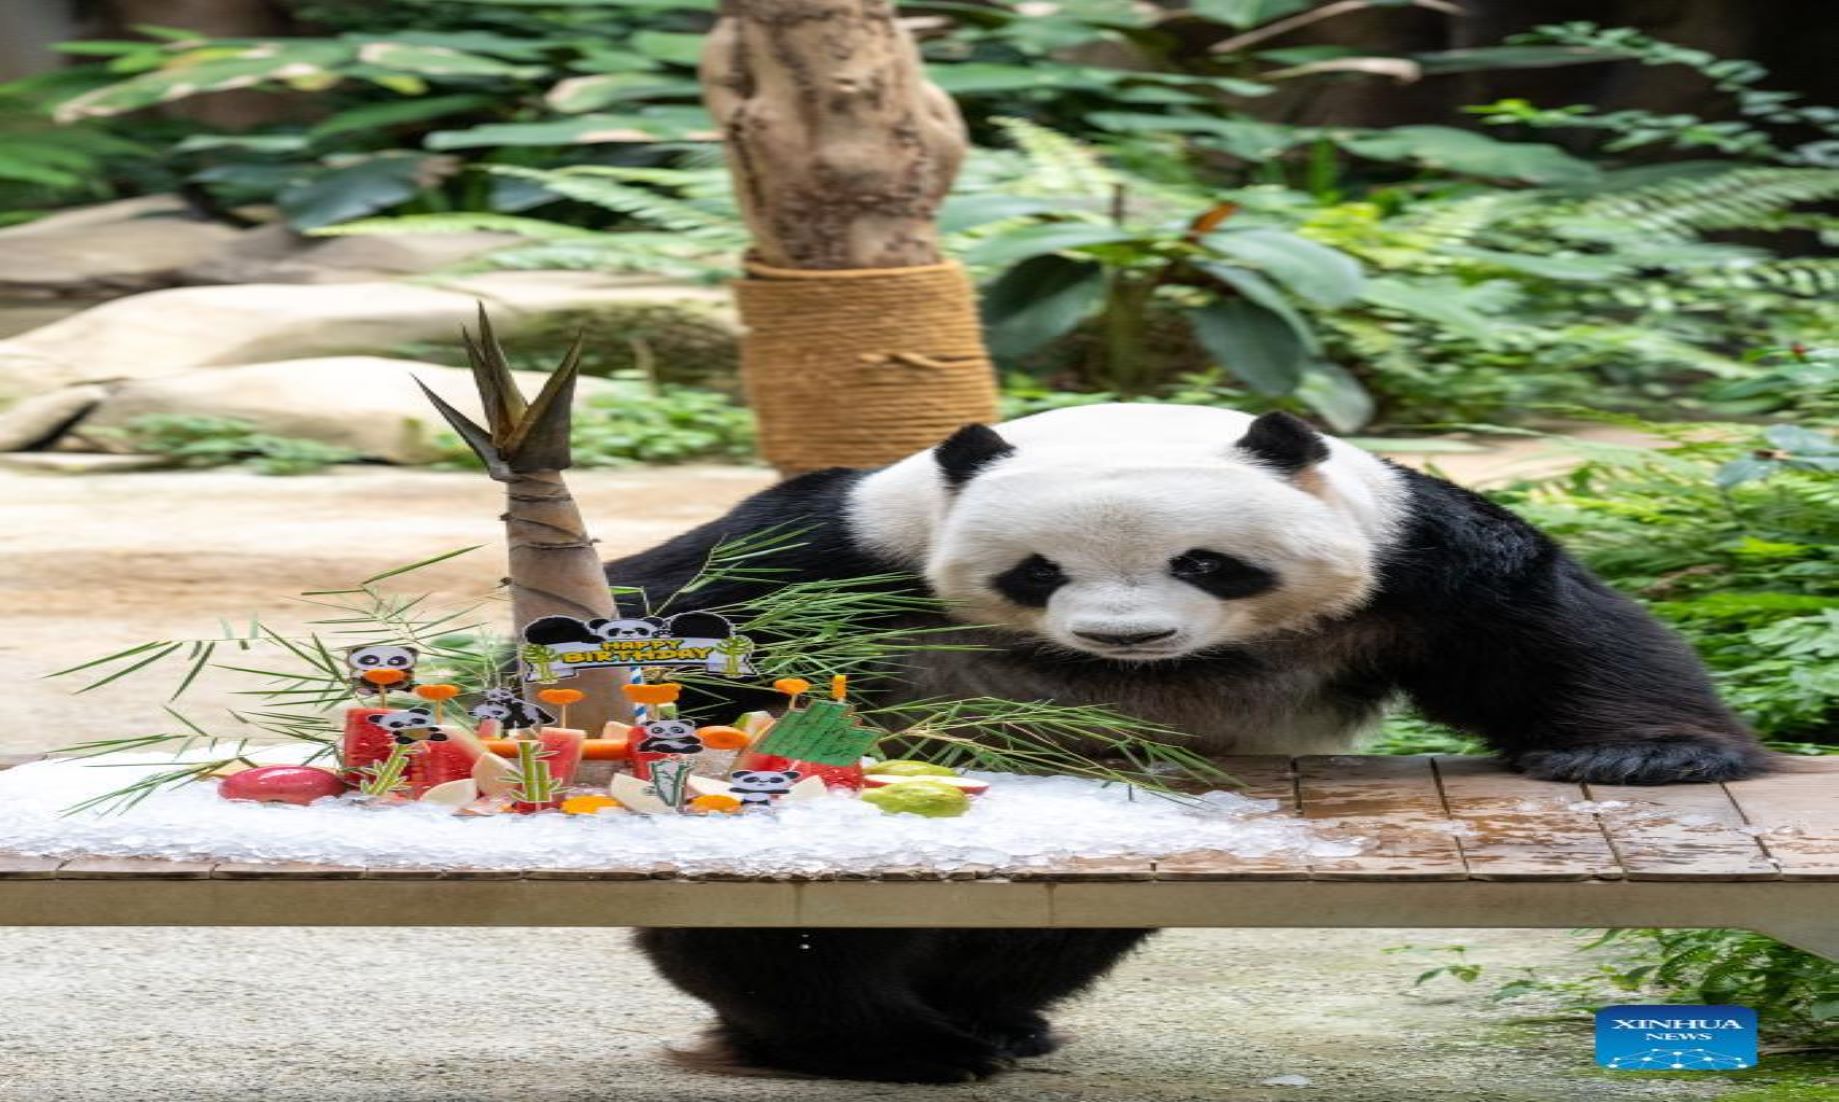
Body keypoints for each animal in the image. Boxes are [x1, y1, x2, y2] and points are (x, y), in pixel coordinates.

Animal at [614, 404, 1765, 1089]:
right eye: (1036, 571)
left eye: (1207, 562)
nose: (1125, 637)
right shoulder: (850, 545)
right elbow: (680, 601)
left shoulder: (1411, 554)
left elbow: (1545, 627)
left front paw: (1652, 754)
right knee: (793, 945)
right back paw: (877, 1042)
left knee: (1037, 935)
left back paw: (987, 1020)